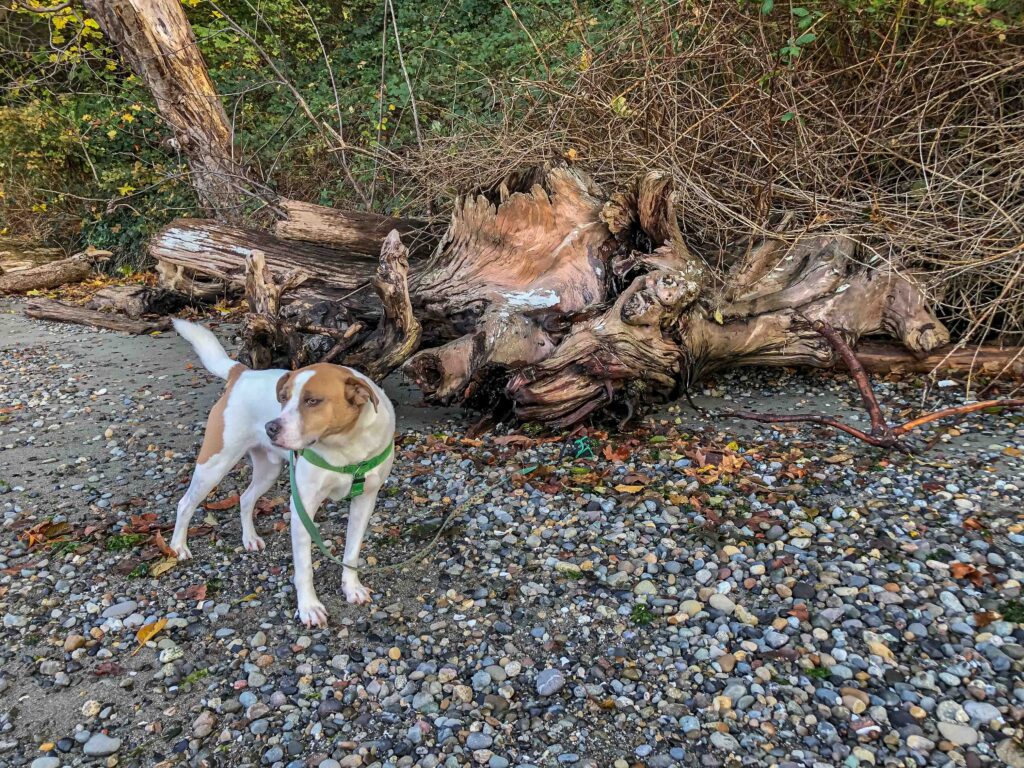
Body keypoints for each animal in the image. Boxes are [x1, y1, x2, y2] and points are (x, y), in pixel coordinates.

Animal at [169, 319, 393, 626]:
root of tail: (243, 373)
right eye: (284, 398)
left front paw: (351, 588)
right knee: (185, 503)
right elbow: (304, 567)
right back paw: (178, 546)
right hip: (215, 464)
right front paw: (309, 607)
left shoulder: (365, 500)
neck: (346, 445)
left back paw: (249, 538)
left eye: (312, 401)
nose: (271, 428)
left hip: (269, 469)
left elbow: (352, 551)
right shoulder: (303, 506)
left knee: (246, 498)